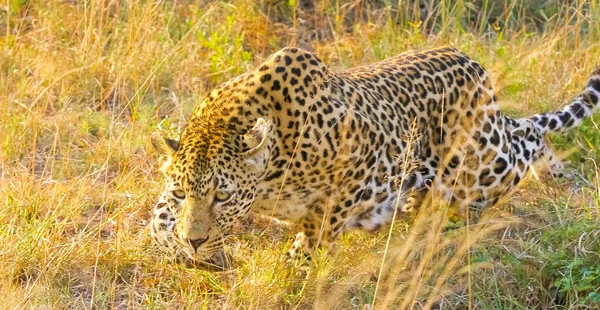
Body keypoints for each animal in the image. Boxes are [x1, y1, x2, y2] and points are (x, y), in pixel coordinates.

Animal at [149, 46, 600, 268]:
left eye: (222, 197)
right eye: (182, 193)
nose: (195, 241)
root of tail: (472, 63)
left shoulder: (359, 167)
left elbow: (316, 229)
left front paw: (293, 270)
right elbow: (158, 218)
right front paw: (180, 248)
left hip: (482, 166)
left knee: (529, 135)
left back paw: (562, 179)